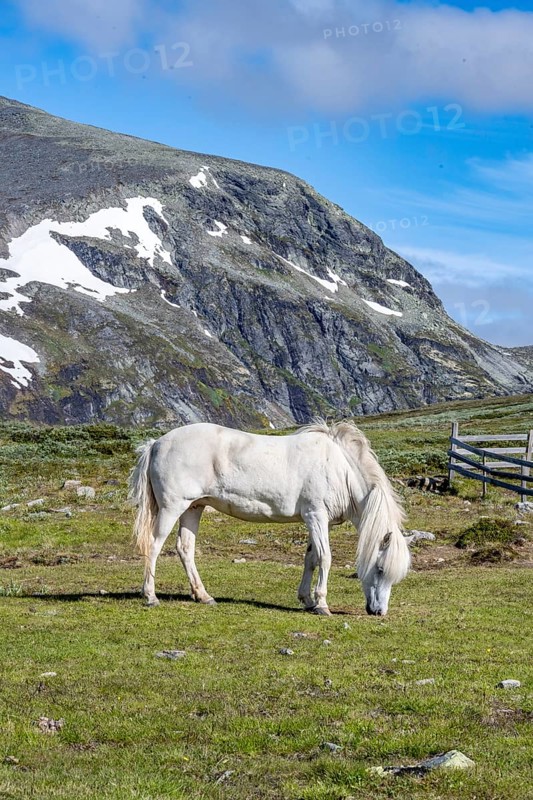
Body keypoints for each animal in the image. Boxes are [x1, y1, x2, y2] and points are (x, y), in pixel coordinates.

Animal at [128, 420, 411, 616]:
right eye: (380, 568)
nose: (378, 611)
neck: (340, 469)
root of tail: (156, 444)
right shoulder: (316, 516)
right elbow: (325, 558)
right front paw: (321, 604)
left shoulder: (319, 522)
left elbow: (311, 558)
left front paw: (307, 600)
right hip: (172, 507)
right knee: (154, 545)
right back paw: (150, 596)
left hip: (193, 508)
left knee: (185, 548)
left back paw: (203, 595)